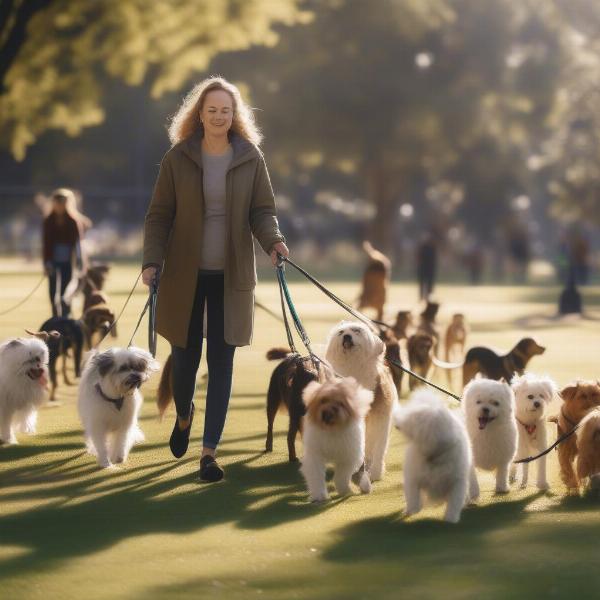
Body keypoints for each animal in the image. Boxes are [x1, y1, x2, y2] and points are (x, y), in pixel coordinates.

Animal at [396, 392, 476, 524]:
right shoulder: (413, 478)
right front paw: (413, 509)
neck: (434, 456)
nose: (397, 424)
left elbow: (455, 502)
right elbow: (413, 496)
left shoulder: (457, 482)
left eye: (414, 418)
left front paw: (451, 518)